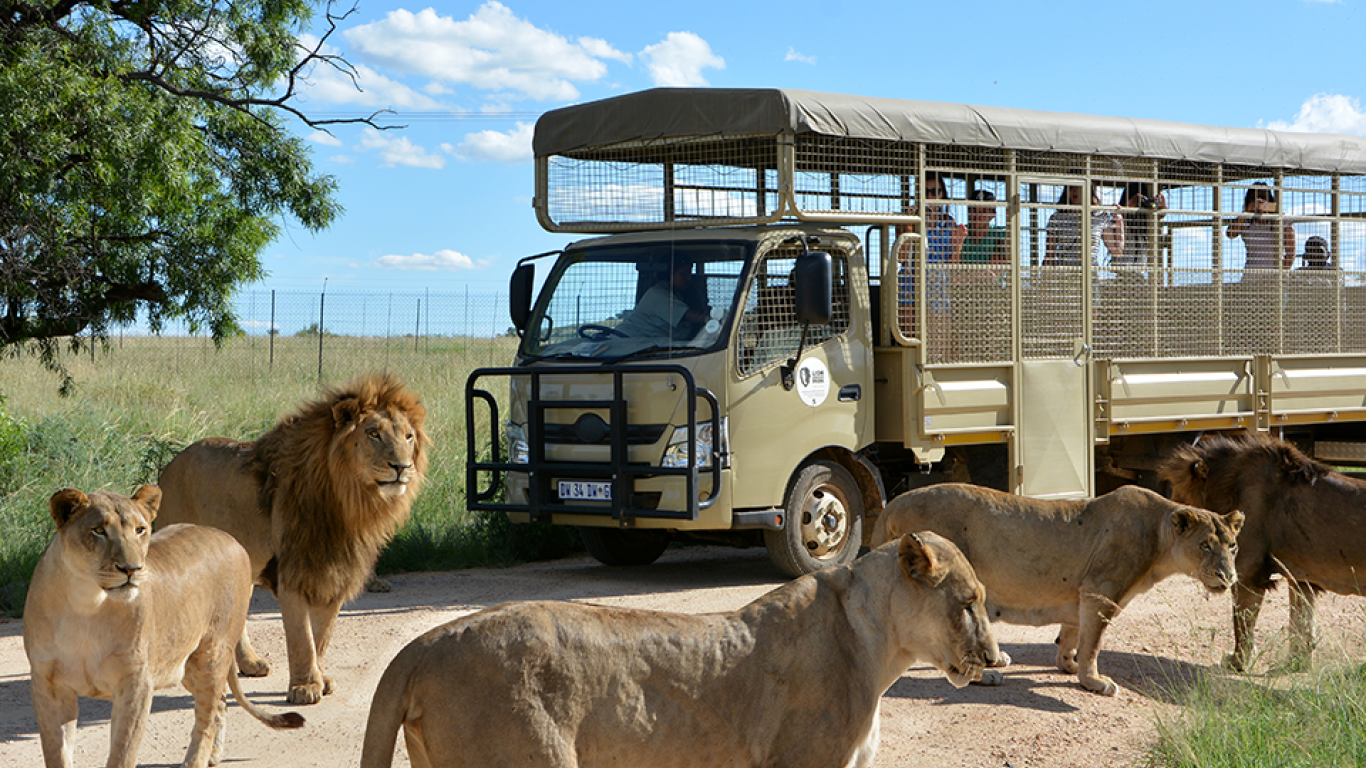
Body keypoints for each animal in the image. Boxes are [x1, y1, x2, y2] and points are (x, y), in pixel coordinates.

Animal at [23, 483, 304, 765]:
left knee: (207, 716)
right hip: (185, 664)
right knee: (220, 703)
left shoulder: (136, 683)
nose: (131, 569)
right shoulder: (49, 686)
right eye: (99, 530)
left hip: (212, 653)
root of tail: (230, 538)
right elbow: (57, 754)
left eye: (140, 530)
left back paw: (196, 761)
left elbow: (122, 754)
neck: (86, 603)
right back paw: (214, 755)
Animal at [157, 371, 428, 699]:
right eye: (374, 434)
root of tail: (167, 468)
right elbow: (302, 636)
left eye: (408, 437)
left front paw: (321, 678)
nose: (402, 466)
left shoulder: (336, 571)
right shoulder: (292, 571)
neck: (349, 502)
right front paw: (305, 686)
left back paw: (249, 664)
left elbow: (322, 635)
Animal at [868, 483, 1245, 694]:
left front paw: (1069, 665)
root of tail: (892, 504)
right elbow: (1093, 644)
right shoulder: (1100, 591)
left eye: (1232, 546)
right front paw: (1093, 682)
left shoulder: (1081, 593)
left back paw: (998, 660)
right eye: (1205, 546)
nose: (1229, 576)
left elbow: (1072, 634)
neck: (1159, 538)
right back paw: (986, 677)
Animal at [1158, 431, 1366, 669]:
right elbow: (1301, 624)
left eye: (1177, 498)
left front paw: (1238, 663)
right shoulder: (1301, 579)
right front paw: (1296, 664)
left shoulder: (1248, 573)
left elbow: (1242, 623)